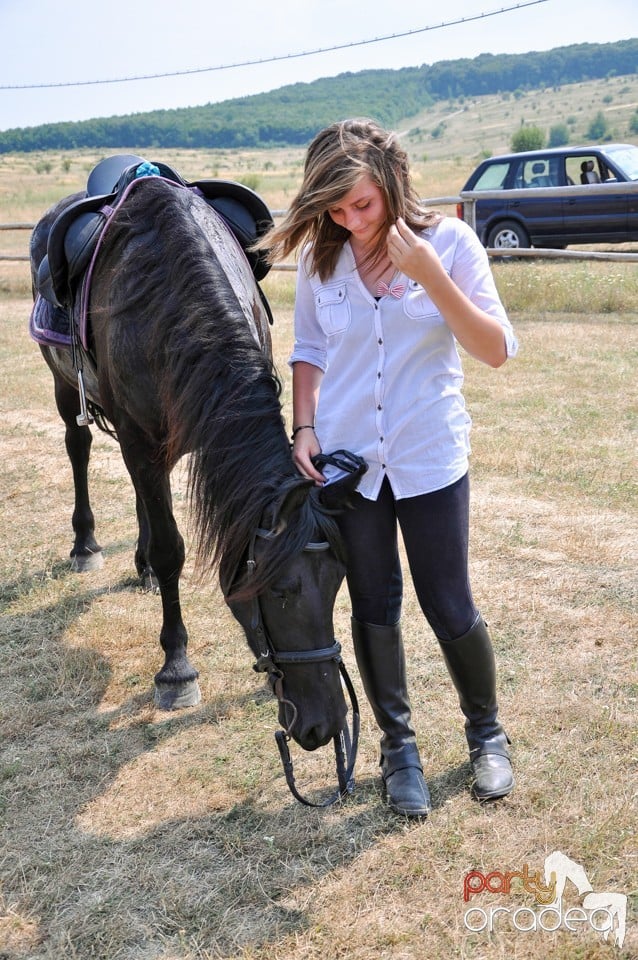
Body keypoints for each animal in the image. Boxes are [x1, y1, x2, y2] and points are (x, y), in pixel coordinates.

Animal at [30, 171, 362, 756]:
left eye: (339, 580)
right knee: (78, 449)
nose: (323, 725)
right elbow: (171, 550)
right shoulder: (140, 439)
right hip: (68, 391)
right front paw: (176, 669)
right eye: (280, 590)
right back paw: (86, 545)